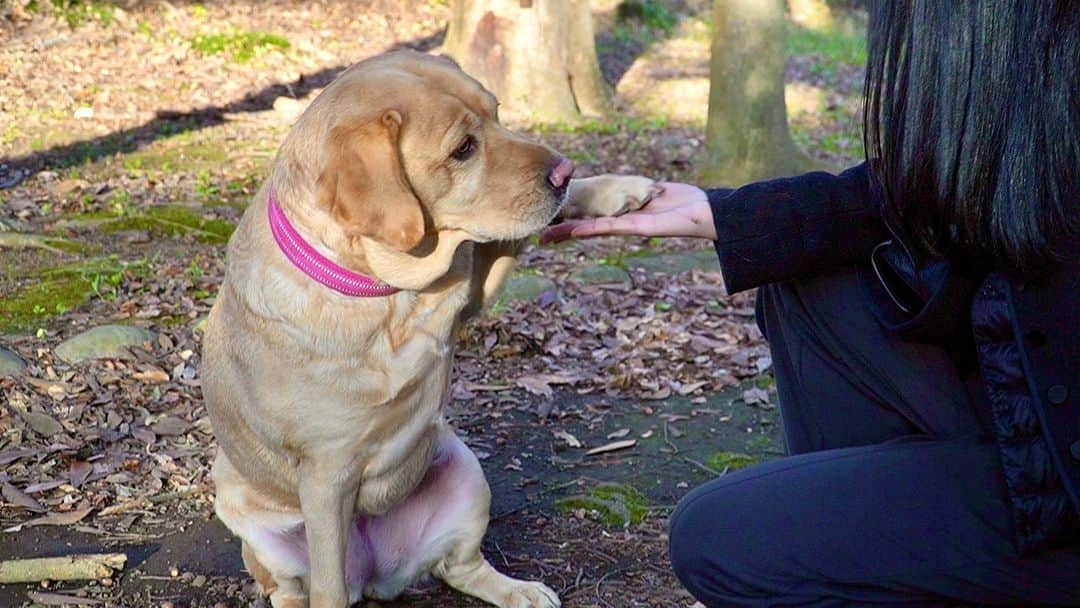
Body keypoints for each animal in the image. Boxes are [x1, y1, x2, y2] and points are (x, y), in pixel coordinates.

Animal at [201, 51, 656, 608]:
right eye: (463, 149)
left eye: (497, 114)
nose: (564, 170)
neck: (386, 296)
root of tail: (375, 575)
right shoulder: (327, 476)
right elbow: (328, 586)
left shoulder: (472, 283)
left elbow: (519, 232)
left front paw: (616, 189)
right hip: (245, 513)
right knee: (293, 589)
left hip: (466, 474)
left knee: (459, 566)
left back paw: (519, 591)